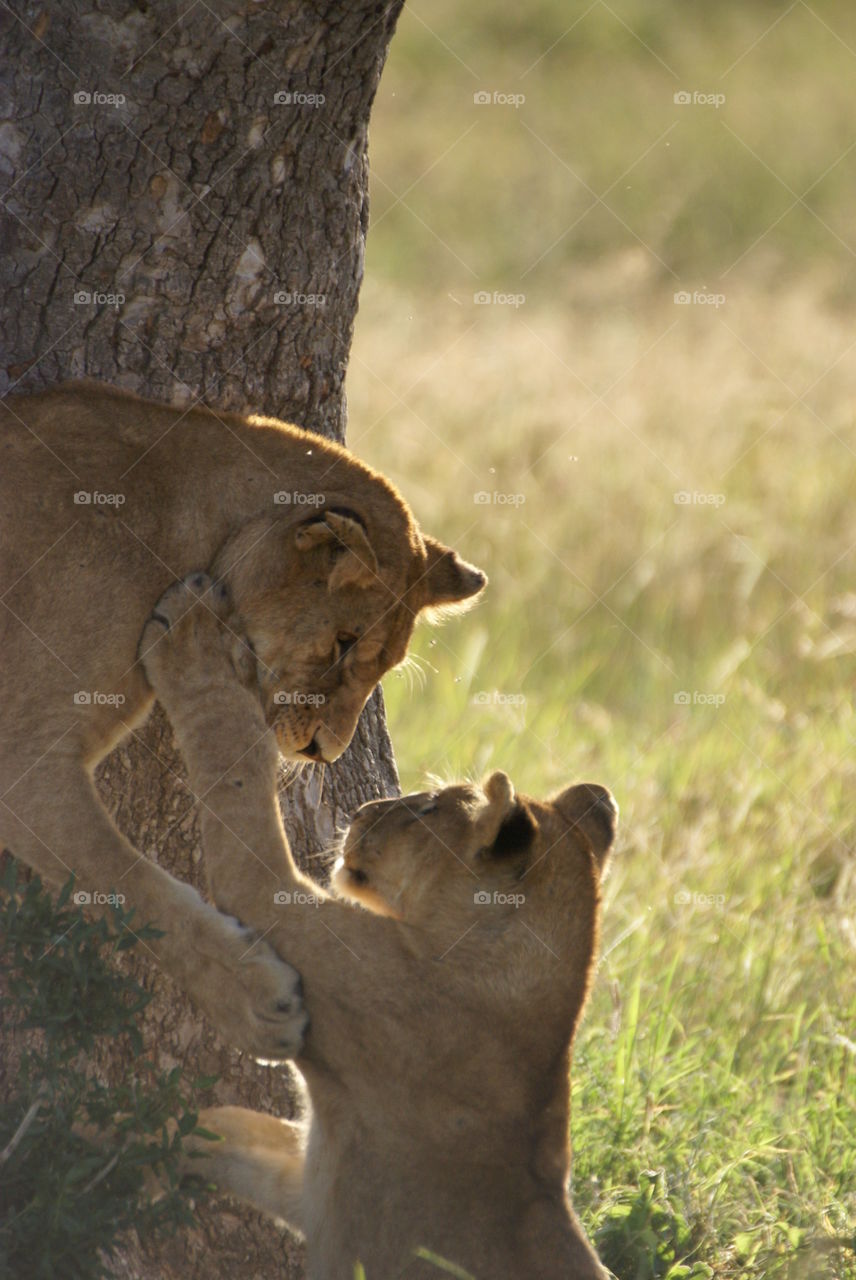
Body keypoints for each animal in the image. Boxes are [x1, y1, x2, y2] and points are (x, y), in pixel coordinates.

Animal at [0, 383, 485, 1061]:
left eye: (383, 664)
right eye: (342, 643)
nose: (327, 750)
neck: (190, 521)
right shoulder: (21, 756)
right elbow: (123, 879)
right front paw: (252, 1000)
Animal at [139, 573, 615, 1280]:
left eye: (426, 805)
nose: (363, 807)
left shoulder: (301, 930)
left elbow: (236, 769)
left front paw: (195, 636)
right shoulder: (310, 1180)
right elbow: (219, 1127)